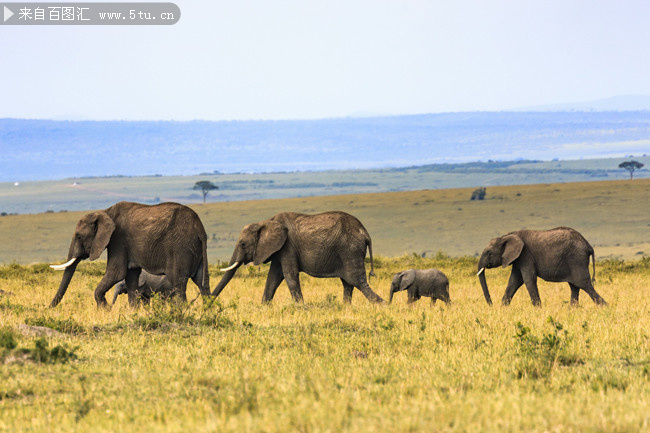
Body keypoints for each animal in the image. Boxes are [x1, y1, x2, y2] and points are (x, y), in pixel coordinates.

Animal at [213, 211, 384, 302]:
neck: (266, 221)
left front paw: (302, 308)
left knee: (357, 281)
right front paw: (263, 307)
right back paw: (345, 308)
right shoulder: (279, 249)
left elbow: (290, 276)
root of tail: (365, 233)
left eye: (242, 244)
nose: (208, 302)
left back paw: (383, 305)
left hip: (350, 250)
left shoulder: (287, 246)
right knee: (348, 283)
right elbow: (273, 278)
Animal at [474, 226, 604, 308]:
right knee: (575, 286)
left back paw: (604, 308)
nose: (491, 305)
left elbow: (528, 279)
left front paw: (538, 309)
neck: (507, 236)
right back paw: (572, 310)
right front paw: (503, 309)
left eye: (489, 253)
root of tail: (588, 246)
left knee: (584, 284)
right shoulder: (518, 258)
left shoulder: (526, 255)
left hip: (577, 260)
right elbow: (514, 281)